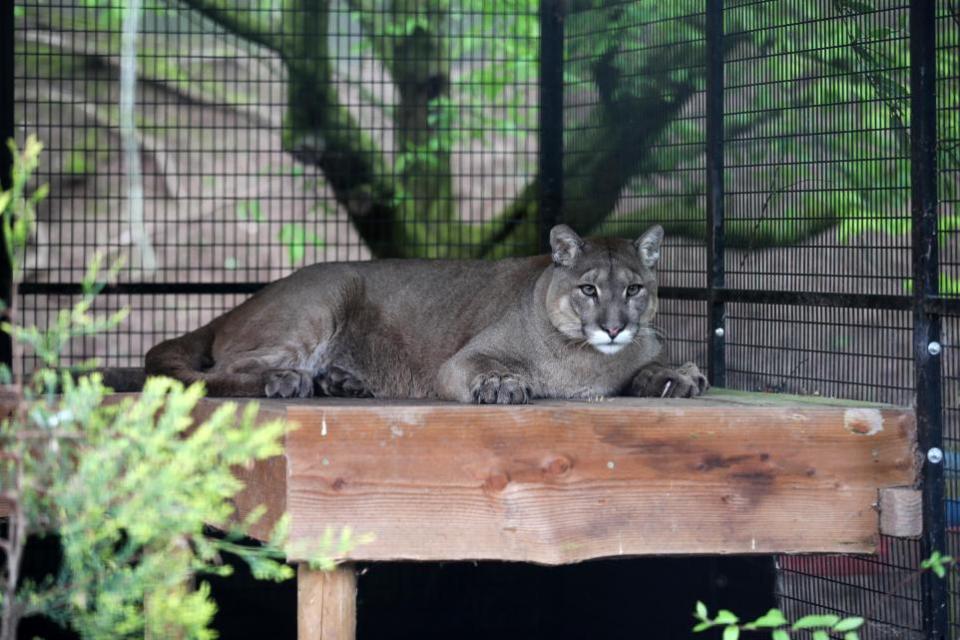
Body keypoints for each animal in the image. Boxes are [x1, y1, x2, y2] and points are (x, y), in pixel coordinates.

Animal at [146, 225, 708, 402]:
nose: (614, 326)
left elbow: (650, 366)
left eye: (634, 289)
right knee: (220, 372)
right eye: (588, 288)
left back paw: (342, 381)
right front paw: (501, 384)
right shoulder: (461, 361)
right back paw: (286, 381)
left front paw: (678, 375)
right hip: (322, 298)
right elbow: (485, 367)